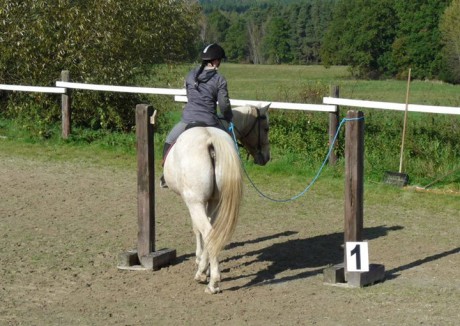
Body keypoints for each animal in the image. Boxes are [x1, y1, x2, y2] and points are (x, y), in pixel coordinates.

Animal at [164, 104, 270, 292]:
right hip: (214, 201)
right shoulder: (211, 201)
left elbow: (197, 229)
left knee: (207, 231)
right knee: (213, 232)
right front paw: (204, 266)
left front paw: (200, 261)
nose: (266, 157)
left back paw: (211, 282)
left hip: (195, 203)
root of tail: (210, 140)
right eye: (266, 128)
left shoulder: (194, 202)